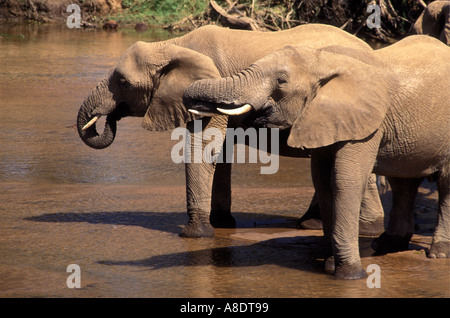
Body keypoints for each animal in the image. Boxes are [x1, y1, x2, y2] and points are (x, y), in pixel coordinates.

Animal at [76, 23, 384, 238]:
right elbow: (219, 153)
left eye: (122, 82)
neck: (172, 45)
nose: (108, 119)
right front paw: (221, 223)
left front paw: (195, 234)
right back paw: (313, 223)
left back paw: (362, 229)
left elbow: (202, 147)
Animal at [184, 34, 450, 278]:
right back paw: (385, 244)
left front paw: (350, 275)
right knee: (404, 183)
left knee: (444, 186)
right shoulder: (322, 117)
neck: (324, 60)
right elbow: (323, 181)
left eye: (281, 81)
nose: (194, 106)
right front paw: (332, 265)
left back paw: (438, 253)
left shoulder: (367, 124)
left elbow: (345, 181)